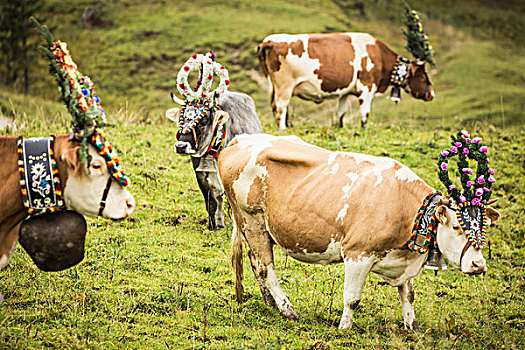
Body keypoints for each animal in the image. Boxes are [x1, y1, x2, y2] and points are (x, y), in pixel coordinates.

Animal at [166, 51, 262, 230]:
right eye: (181, 119)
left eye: (203, 121)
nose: (181, 146)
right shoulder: (202, 176)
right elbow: (212, 201)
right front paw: (214, 225)